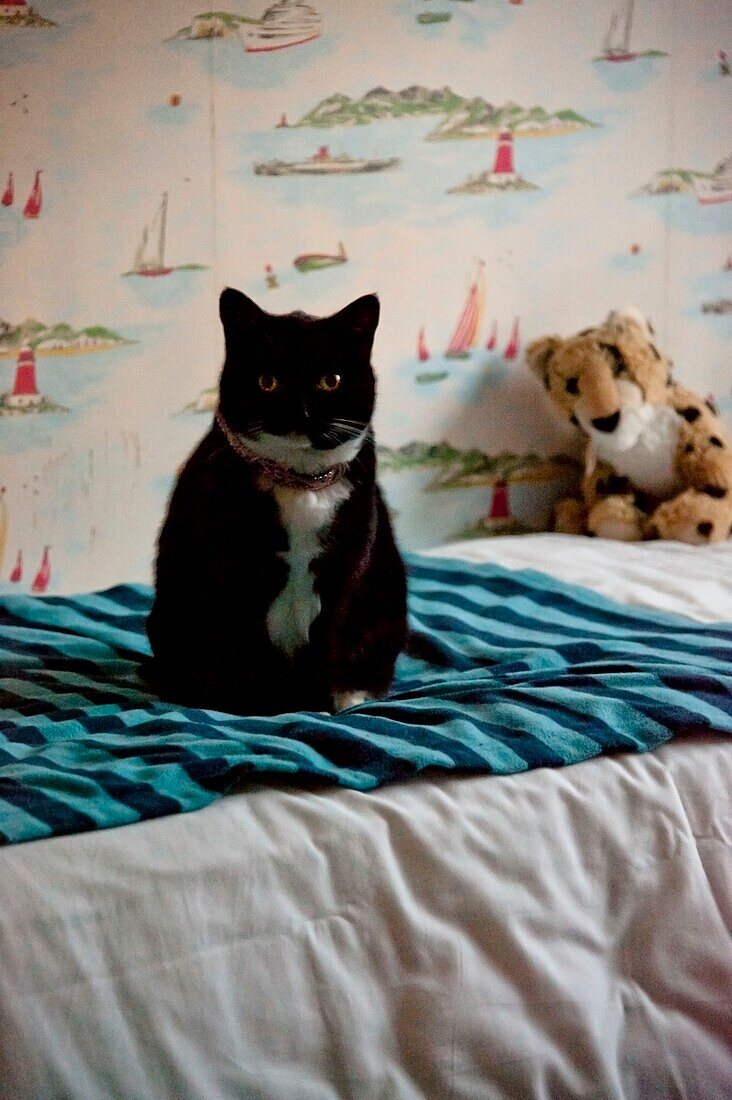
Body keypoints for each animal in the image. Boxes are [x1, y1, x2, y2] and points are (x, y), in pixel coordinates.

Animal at [145, 290, 407, 712]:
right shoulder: (232, 570)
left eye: (330, 380)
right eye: (268, 381)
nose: (300, 411)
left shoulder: (347, 569)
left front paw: (322, 704)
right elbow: (247, 650)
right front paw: (260, 709)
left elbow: (330, 640)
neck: (300, 483)